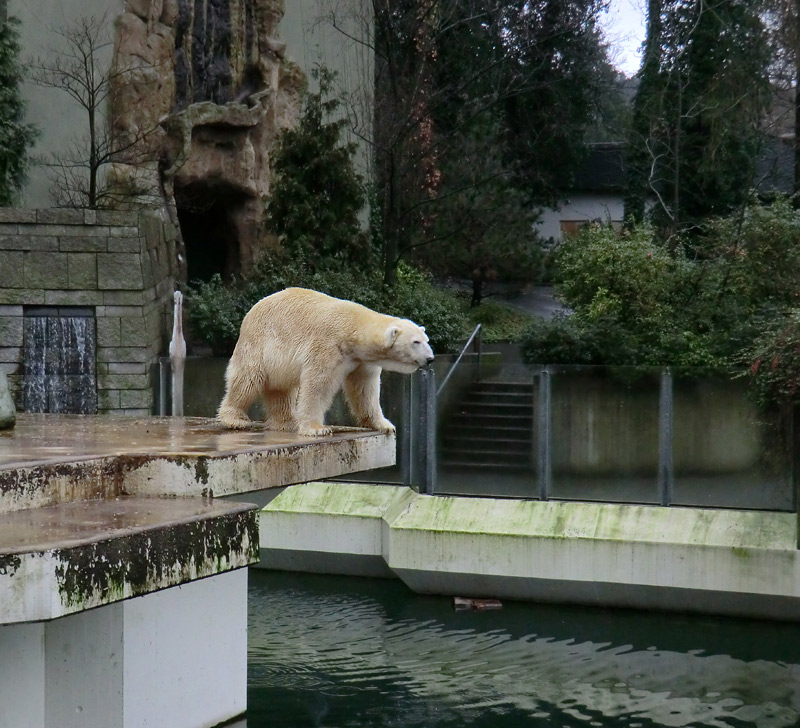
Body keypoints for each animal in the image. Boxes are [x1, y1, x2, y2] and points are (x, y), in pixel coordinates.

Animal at [216, 288, 434, 438]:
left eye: (426, 340)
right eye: (416, 342)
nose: (430, 359)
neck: (353, 328)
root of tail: (252, 310)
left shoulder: (361, 361)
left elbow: (365, 390)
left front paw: (385, 425)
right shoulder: (327, 347)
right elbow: (318, 384)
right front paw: (316, 429)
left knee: (281, 389)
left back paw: (287, 422)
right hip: (258, 343)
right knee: (248, 380)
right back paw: (234, 419)